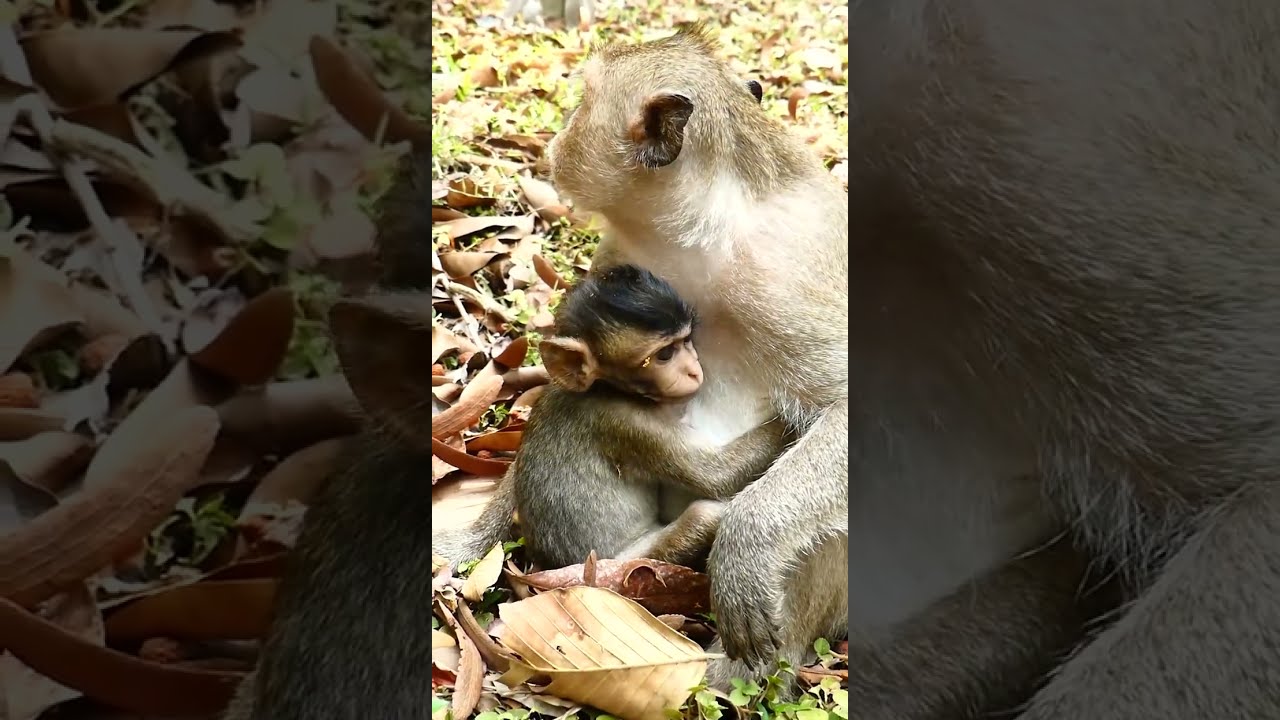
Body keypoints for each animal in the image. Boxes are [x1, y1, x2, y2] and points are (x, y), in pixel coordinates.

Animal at [431, 262, 790, 572]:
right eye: (665, 354)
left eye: (686, 341)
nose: (693, 370)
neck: (605, 389)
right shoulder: (628, 424)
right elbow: (716, 476)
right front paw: (792, 419)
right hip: (630, 561)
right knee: (705, 515)